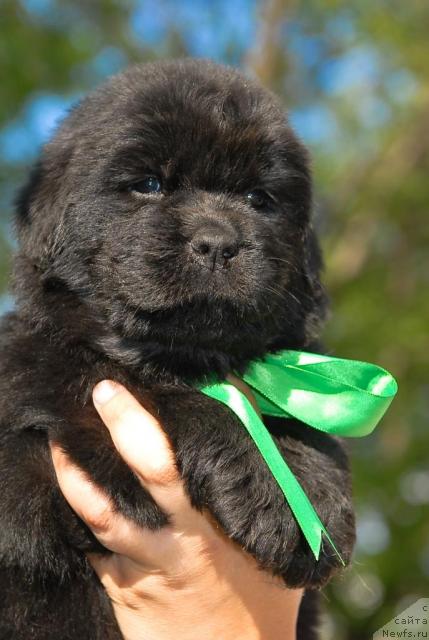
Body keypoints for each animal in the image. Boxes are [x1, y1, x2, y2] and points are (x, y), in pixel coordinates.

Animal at [0, 57, 354, 636]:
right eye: (149, 184)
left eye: (258, 199)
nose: (218, 243)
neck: (188, 355)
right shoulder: (57, 393)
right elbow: (173, 396)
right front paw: (273, 499)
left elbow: (307, 428)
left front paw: (319, 503)